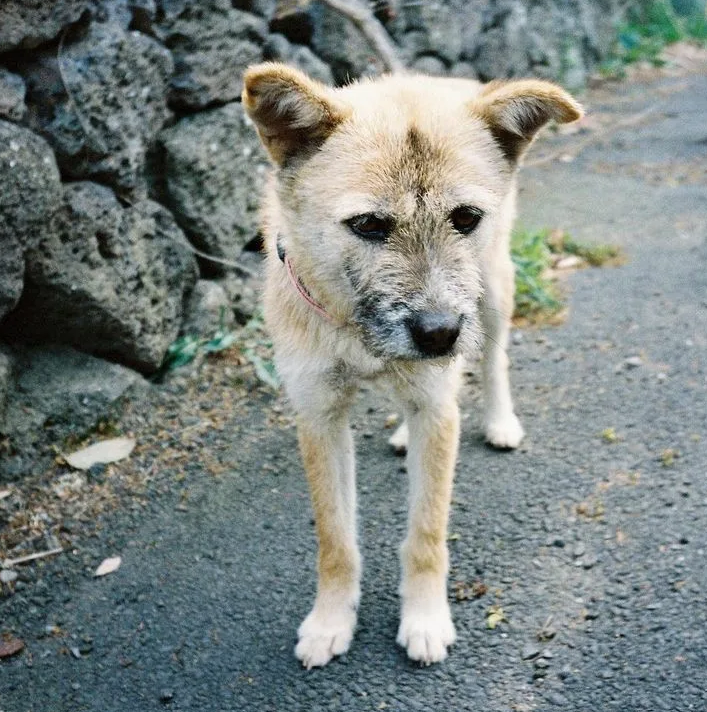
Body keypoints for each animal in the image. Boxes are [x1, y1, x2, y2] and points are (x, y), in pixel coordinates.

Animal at [241, 64, 584, 672]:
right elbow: (335, 539)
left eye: (465, 217)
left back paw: (500, 420)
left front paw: (424, 619)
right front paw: (331, 620)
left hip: (493, 294)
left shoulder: (436, 404)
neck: (356, 327)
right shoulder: (319, 418)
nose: (440, 333)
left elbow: (426, 533)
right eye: (369, 225)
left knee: (493, 360)